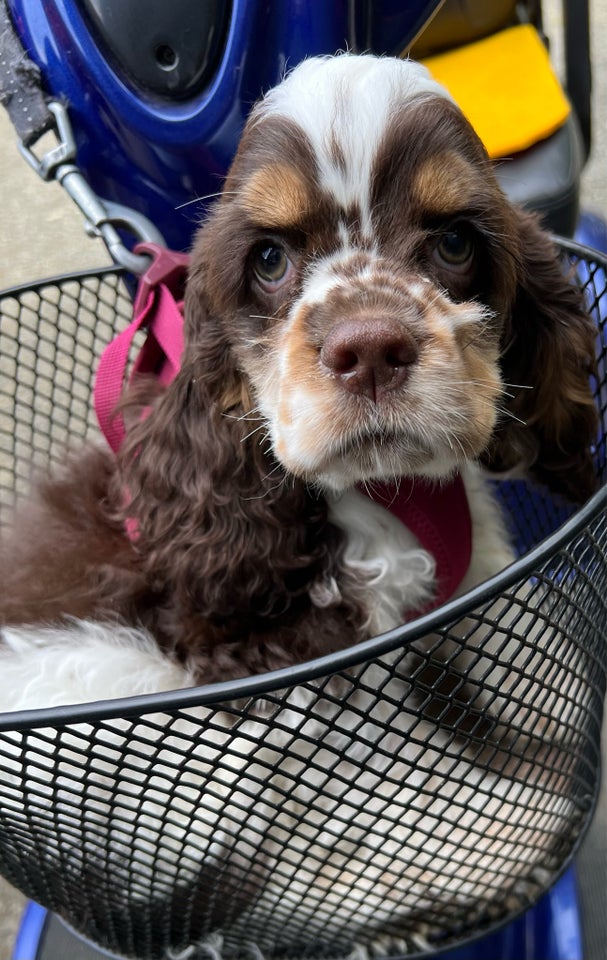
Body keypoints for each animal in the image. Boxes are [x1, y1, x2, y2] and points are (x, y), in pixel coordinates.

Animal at [0, 56, 600, 956]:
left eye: (454, 242)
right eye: (271, 260)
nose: (370, 348)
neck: (385, 494)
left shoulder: (466, 554)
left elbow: (501, 608)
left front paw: (550, 694)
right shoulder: (287, 658)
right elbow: (386, 774)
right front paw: (492, 824)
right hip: (118, 697)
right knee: (263, 872)